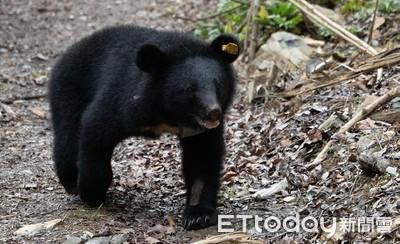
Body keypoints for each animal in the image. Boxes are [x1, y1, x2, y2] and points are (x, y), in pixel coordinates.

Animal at [48, 25, 239, 230]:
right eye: (189, 89)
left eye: (218, 85)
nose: (213, 113)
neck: (169, 113)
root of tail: (71, 50)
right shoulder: (125, 101)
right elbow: (96, 130)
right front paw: (92, 193)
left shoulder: (199, 129)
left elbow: (202, 157)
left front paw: (198, 215)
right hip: (70, 89)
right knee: (68, 135)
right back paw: (71, 182)